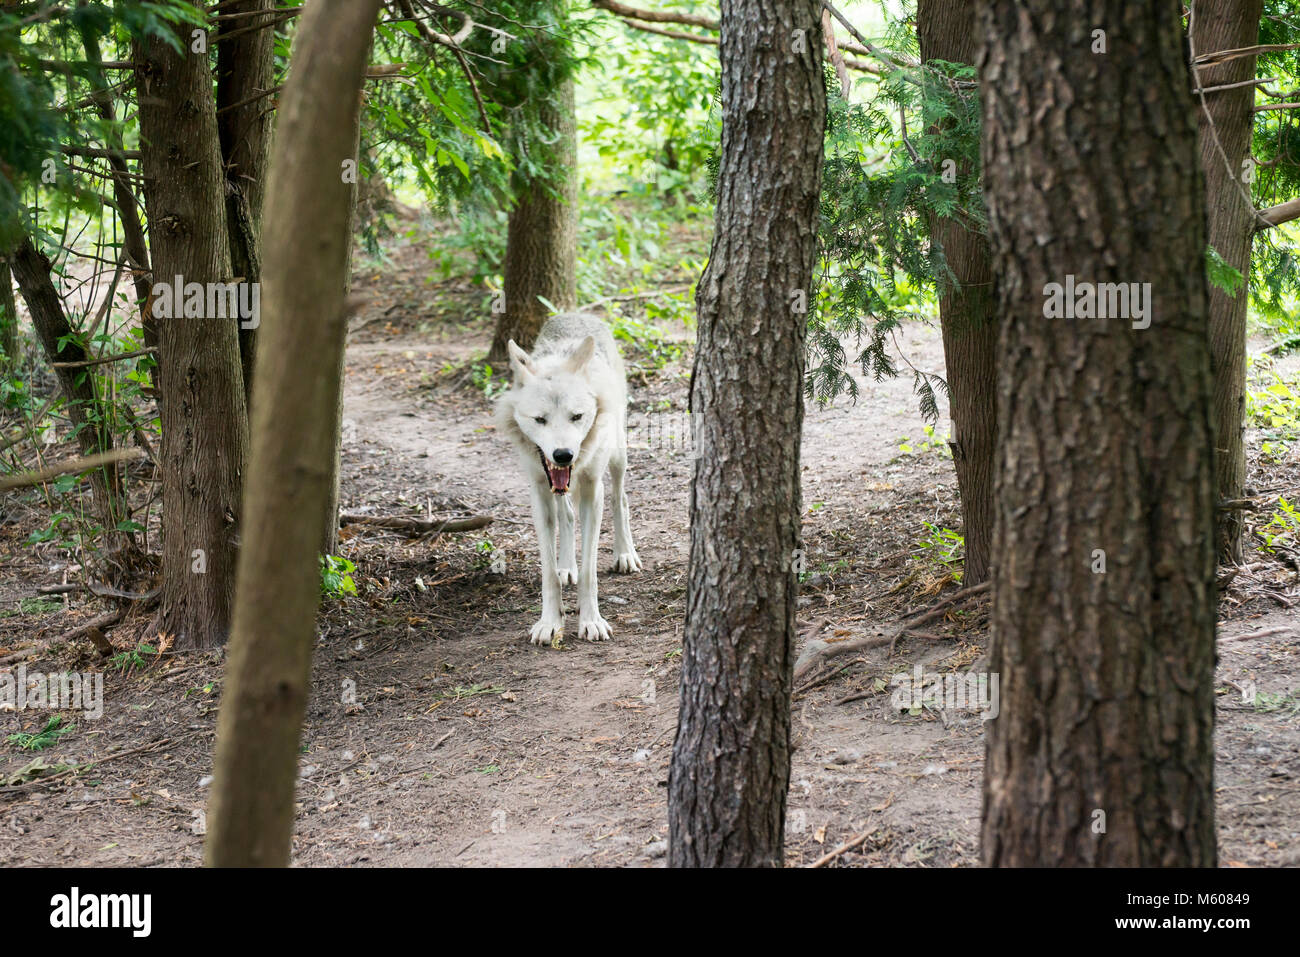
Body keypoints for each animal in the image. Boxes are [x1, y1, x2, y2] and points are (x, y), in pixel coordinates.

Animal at [496, 313, 641, 645]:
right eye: (540, 419)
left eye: (577, 416)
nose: (563, 455)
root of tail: (578, 313)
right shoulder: (539, 491)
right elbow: (548, 572)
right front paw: (550, 622)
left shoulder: (592, 490)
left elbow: (590, 570)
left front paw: (592, 622)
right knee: (567, 515)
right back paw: (567, 566)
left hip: (617, 454)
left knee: (621, 499)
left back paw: (625, 554)